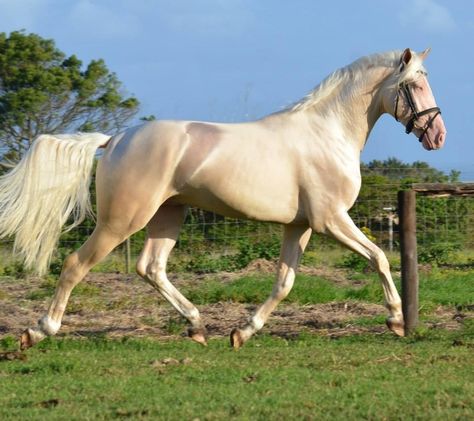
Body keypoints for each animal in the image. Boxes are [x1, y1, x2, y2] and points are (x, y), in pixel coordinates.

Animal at [0, 47, 444, 348]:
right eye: (414, 84)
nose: (437, 136)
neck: (327, 134)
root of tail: (116, 139)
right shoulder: (330, 219)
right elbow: (379, 257)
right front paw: (396, 321)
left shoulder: (299, 226)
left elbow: (284, 283)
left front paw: (241, 332)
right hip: (122, 220)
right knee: (76, 264)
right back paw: (37, 331)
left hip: (168, 216)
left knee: (151, 267)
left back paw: (197, 326)